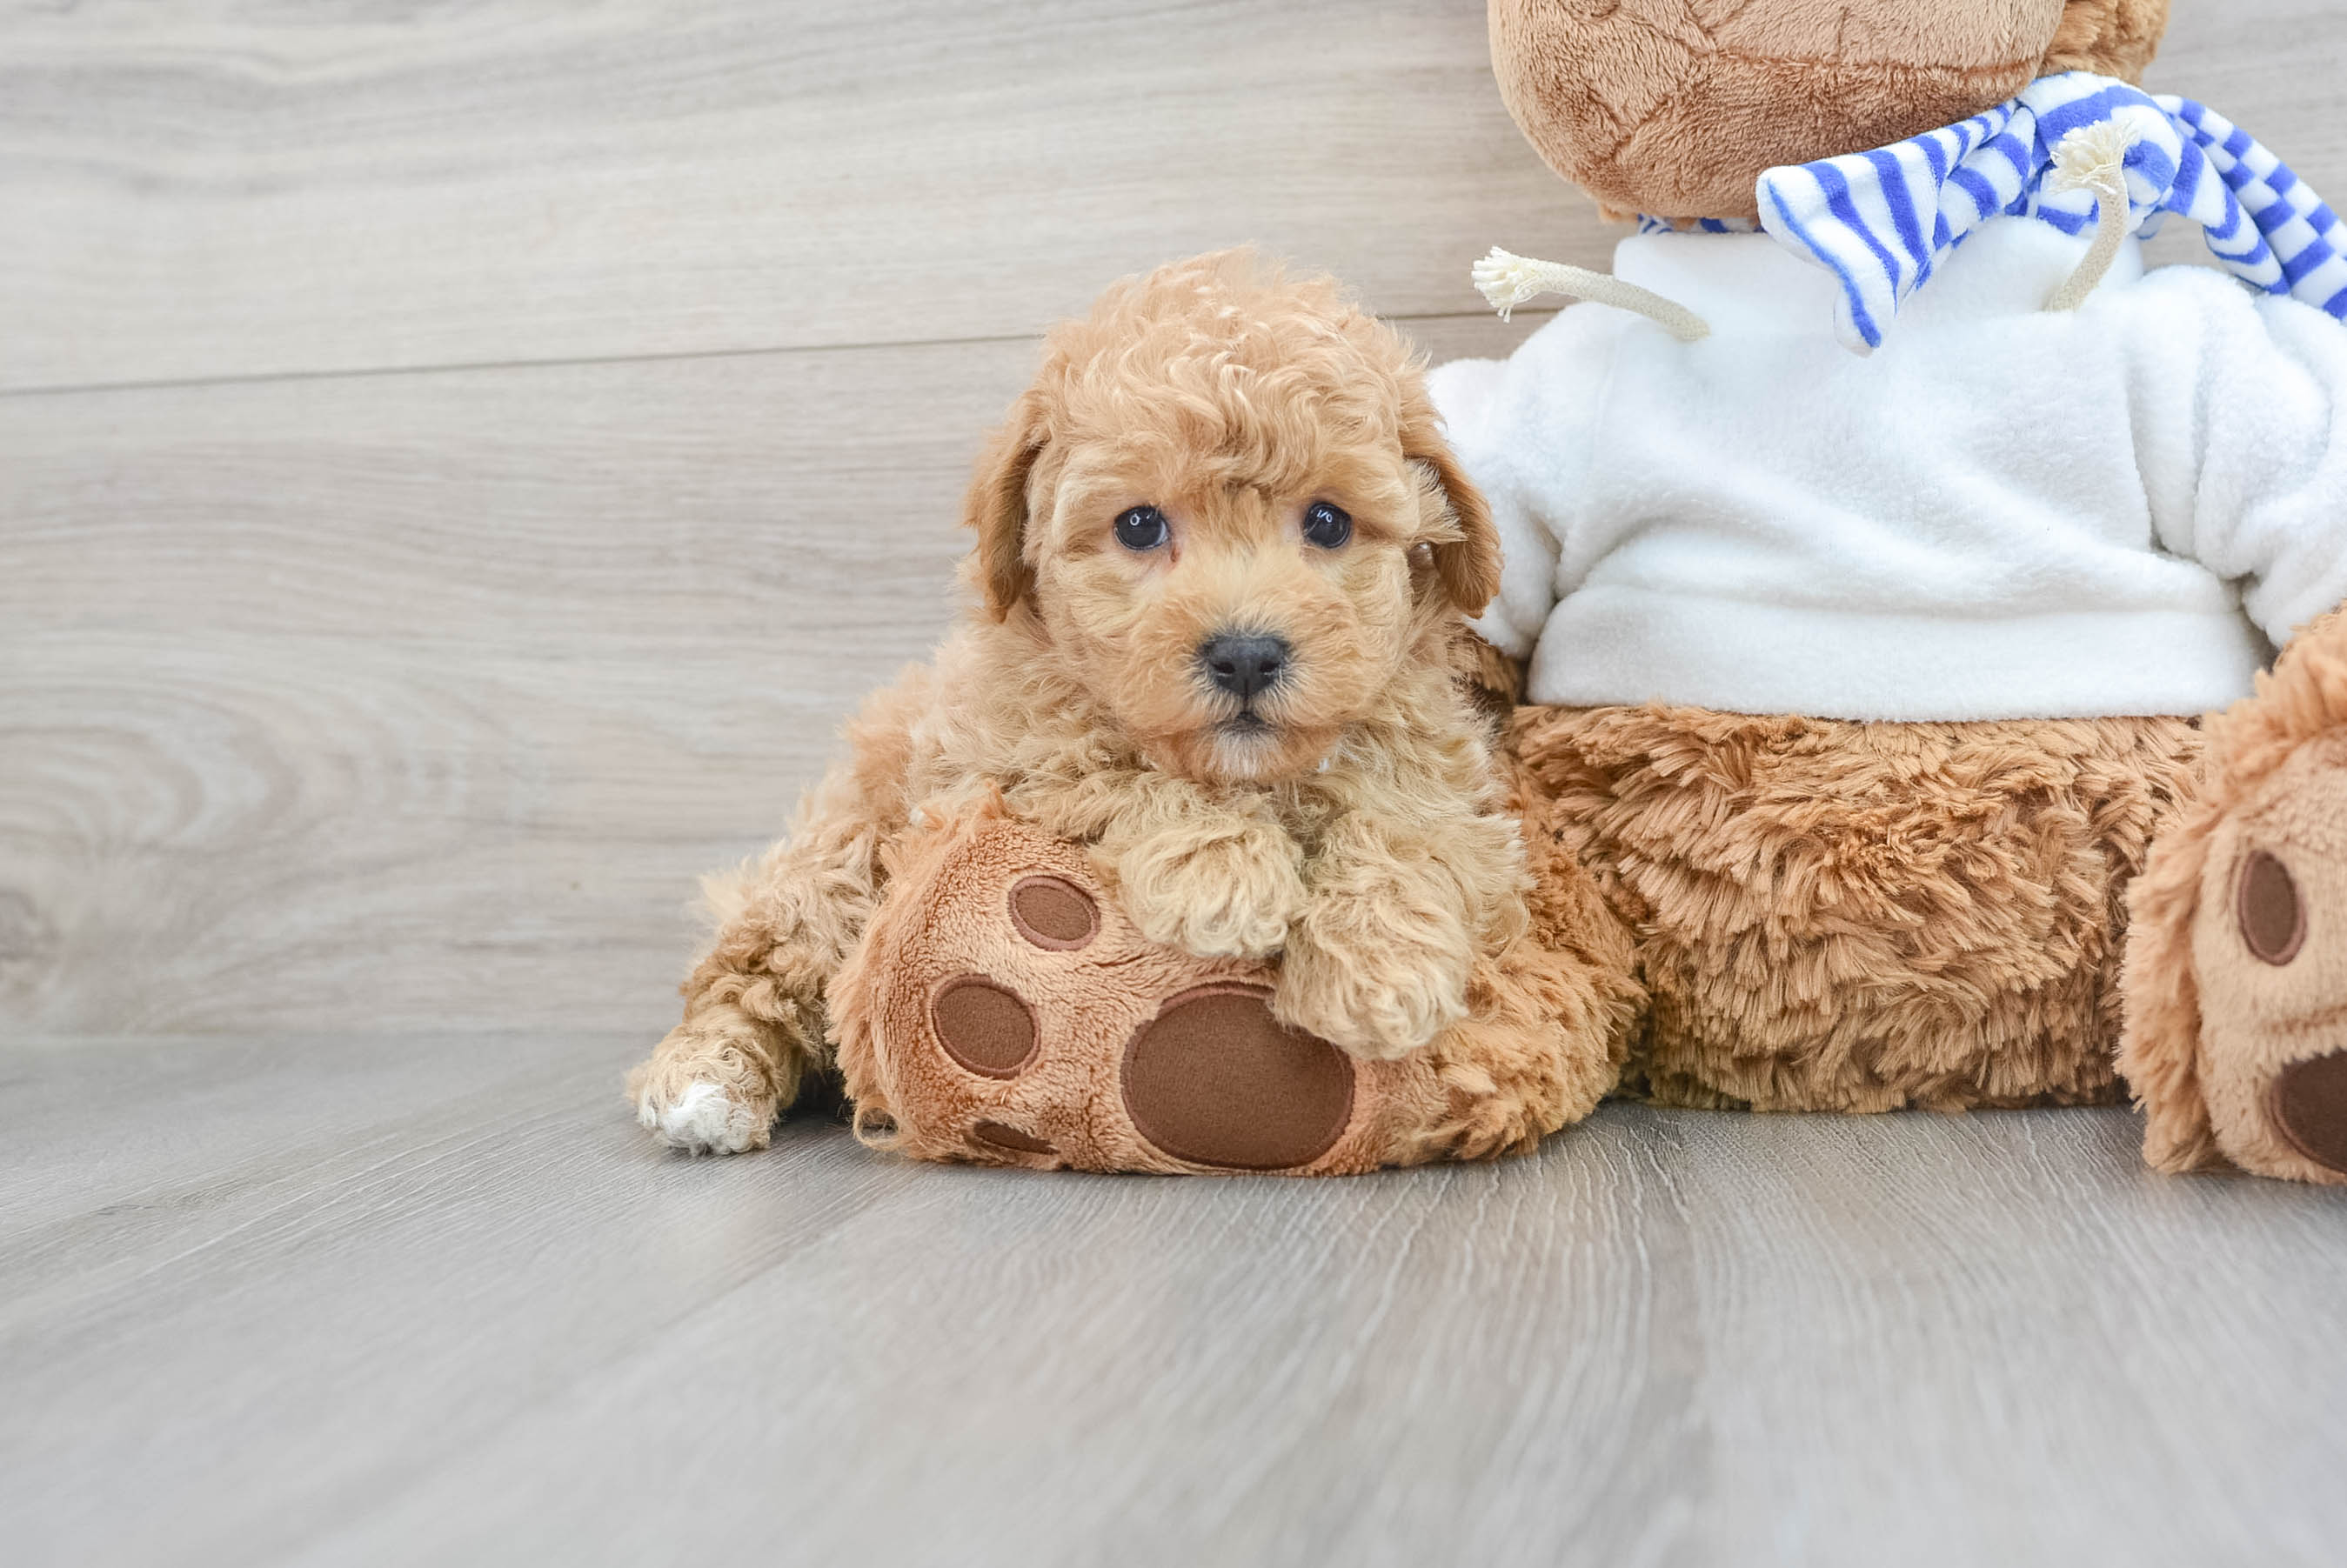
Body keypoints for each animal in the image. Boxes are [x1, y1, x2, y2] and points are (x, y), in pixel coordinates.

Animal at [624, 247, 1548, 1150]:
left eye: (1328, 522)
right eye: (1139, 525)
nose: (1247, 655)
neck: (1253, 775)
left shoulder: (1448, 780)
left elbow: (1408, 828)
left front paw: (1380, 970)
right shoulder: (1004, 757)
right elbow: (1119, 766)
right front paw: (1222, 872)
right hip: (834, 861)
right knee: (751, 974)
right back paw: (704, 1085)